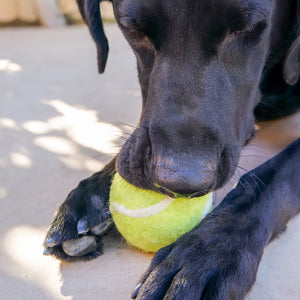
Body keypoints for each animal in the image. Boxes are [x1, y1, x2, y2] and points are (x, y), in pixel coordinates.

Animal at [44, 0, 300, 298]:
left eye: (247, 29)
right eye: (132, 27)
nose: (181, 182)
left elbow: (273, 176)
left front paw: (206, 253)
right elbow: (128, 150)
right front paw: (91, 196)